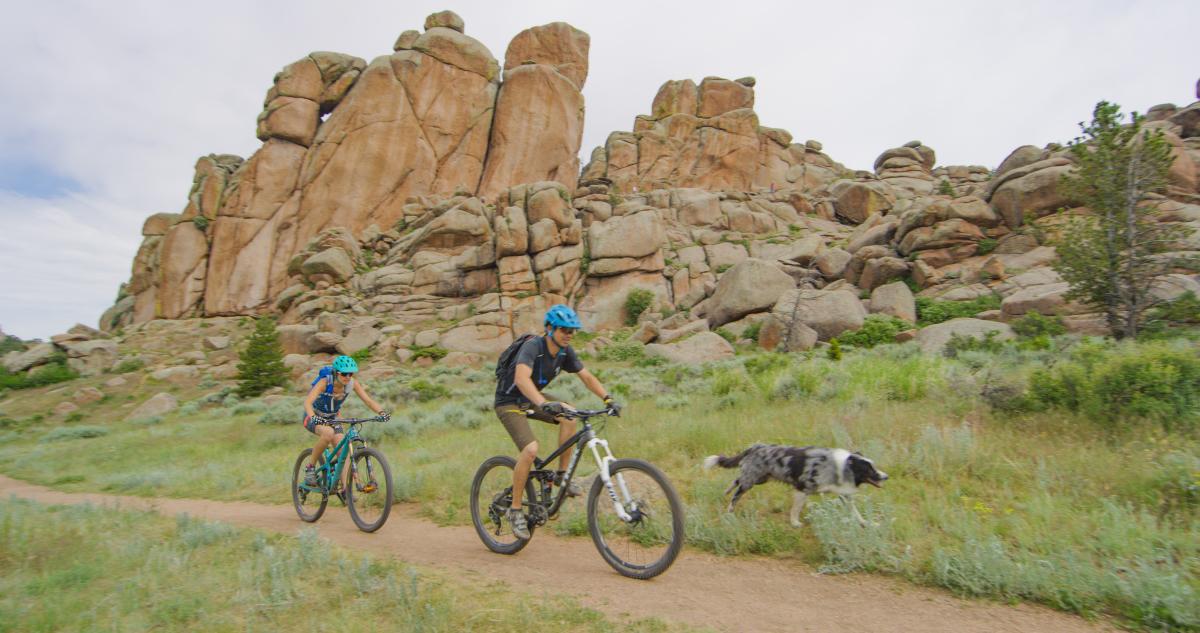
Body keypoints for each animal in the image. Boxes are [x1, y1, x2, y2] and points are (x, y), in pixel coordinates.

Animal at [700, 445, 888, 529]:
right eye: (869, 469)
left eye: (873, 466)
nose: (886, 476)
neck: (839, 466)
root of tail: (753, 447)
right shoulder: (802, 488)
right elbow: (795, 509)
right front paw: (795, 523)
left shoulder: (844, 495)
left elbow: (856, 513)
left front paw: (866, 522)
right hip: (752, 480)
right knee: (737, 494)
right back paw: (729, 511)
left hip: (760, 478)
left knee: (736, 480)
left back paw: (725, 491)